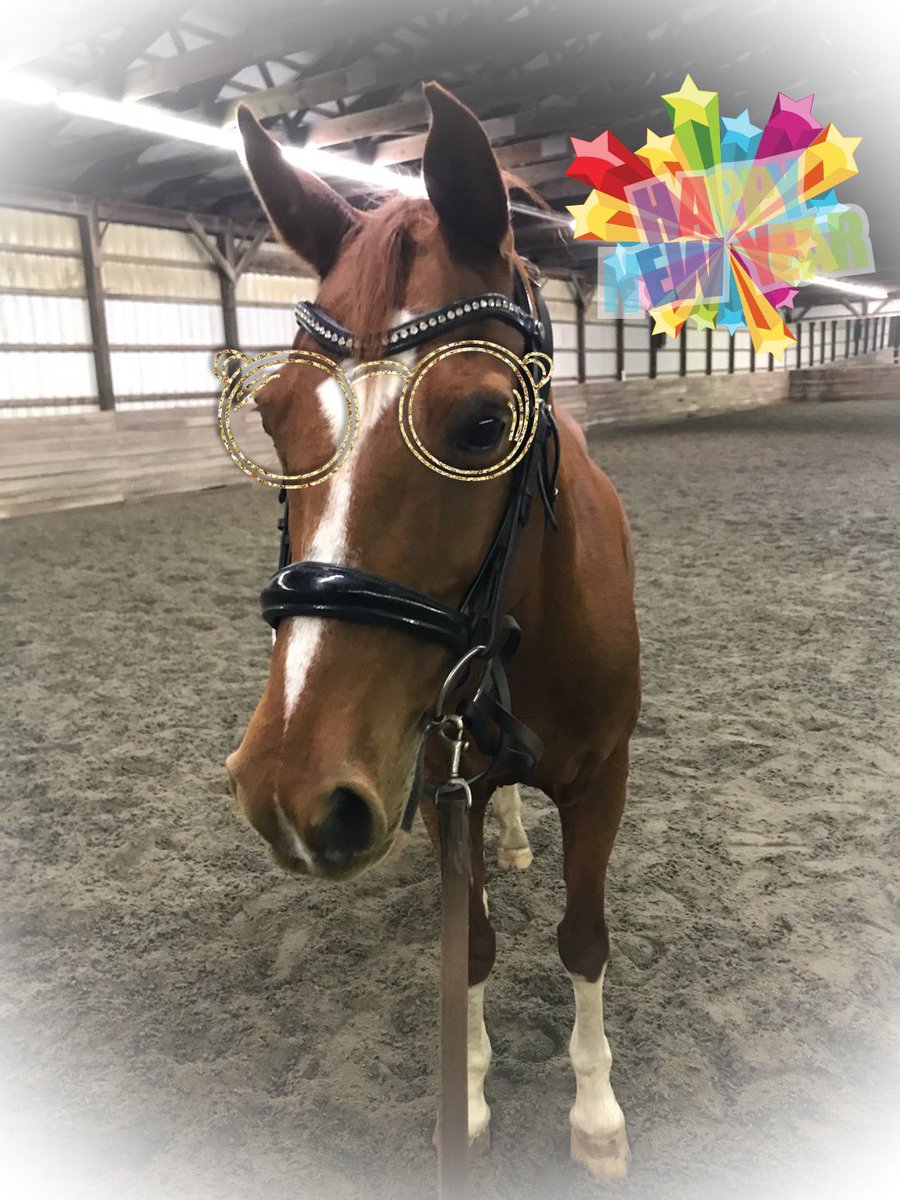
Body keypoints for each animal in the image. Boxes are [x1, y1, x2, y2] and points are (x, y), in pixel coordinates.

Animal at [225, 81, 640, 1180]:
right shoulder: (443, 783)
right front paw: (476, 1097)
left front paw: (596, 1115)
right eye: (274, 417)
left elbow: (585, 939)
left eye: (484, 425)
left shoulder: (606, 778)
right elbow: (475, 950)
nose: (289, 793)